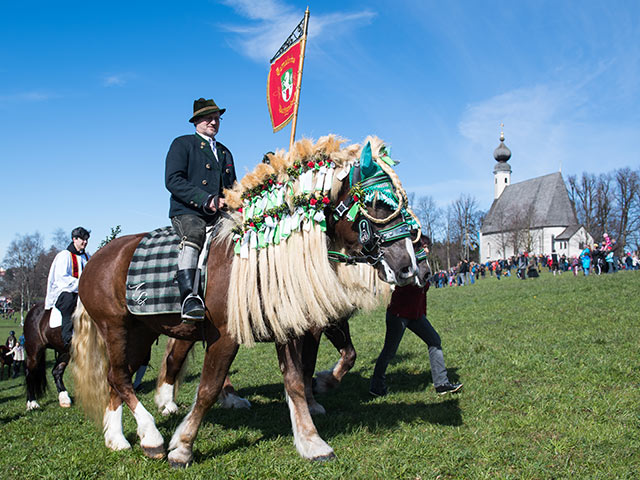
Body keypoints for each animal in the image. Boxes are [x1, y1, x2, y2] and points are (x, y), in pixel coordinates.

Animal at [71, 137, 420, 466]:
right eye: (376, 203)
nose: (408, 267)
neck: (259, 255)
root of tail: (97, 258)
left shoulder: (288, 328)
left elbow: (296, 380)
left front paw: (312, 441)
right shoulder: (224, 335)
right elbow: (207, 389)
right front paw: (182, 448)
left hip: (141, 332)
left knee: (119, 378)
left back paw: (118, 438)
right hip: (115, 328)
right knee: (121, 377)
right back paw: (152, 436)